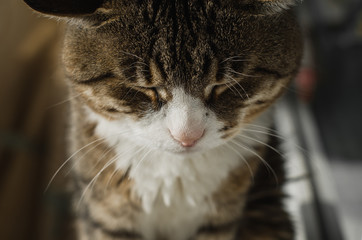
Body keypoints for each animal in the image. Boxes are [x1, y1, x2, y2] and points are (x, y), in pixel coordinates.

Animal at [23, 0, 302, 240]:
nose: (187, 136)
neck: (176, 174)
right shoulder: (106, 213)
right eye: (146, 89)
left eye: (223, 85)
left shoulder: (222, 218)